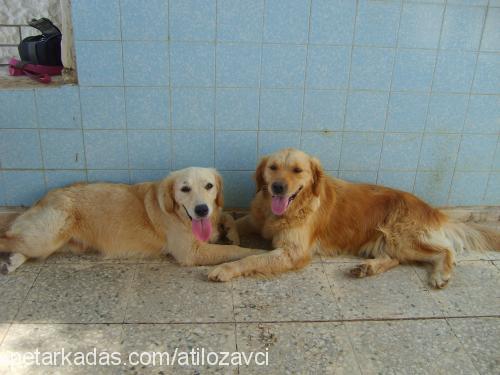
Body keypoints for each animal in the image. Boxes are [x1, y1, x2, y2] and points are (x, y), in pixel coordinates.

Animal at [0, 167, 264, 274]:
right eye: (185, 189)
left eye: (209, 186)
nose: (201, 209)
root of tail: (45, 196)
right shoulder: (191, 252)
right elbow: (232, 251)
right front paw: (254, 252)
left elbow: (227, 215)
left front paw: (230, 231)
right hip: (47, 236)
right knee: (7, 237)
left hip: (58, 243)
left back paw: (13, 261)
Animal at [208, 148, 500, 288]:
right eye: (273, 168)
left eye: (297, 170)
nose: (278, 187)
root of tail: (433, 210)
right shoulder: (260, 220)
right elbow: (234, 217)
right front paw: (230, 232)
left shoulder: (293, 252)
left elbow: (251, 258)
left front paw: (225, 268)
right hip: (385, 241)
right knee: (395, 259)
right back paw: (367, 268)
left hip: (402, 237)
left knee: (446, 250)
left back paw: (441, 274)